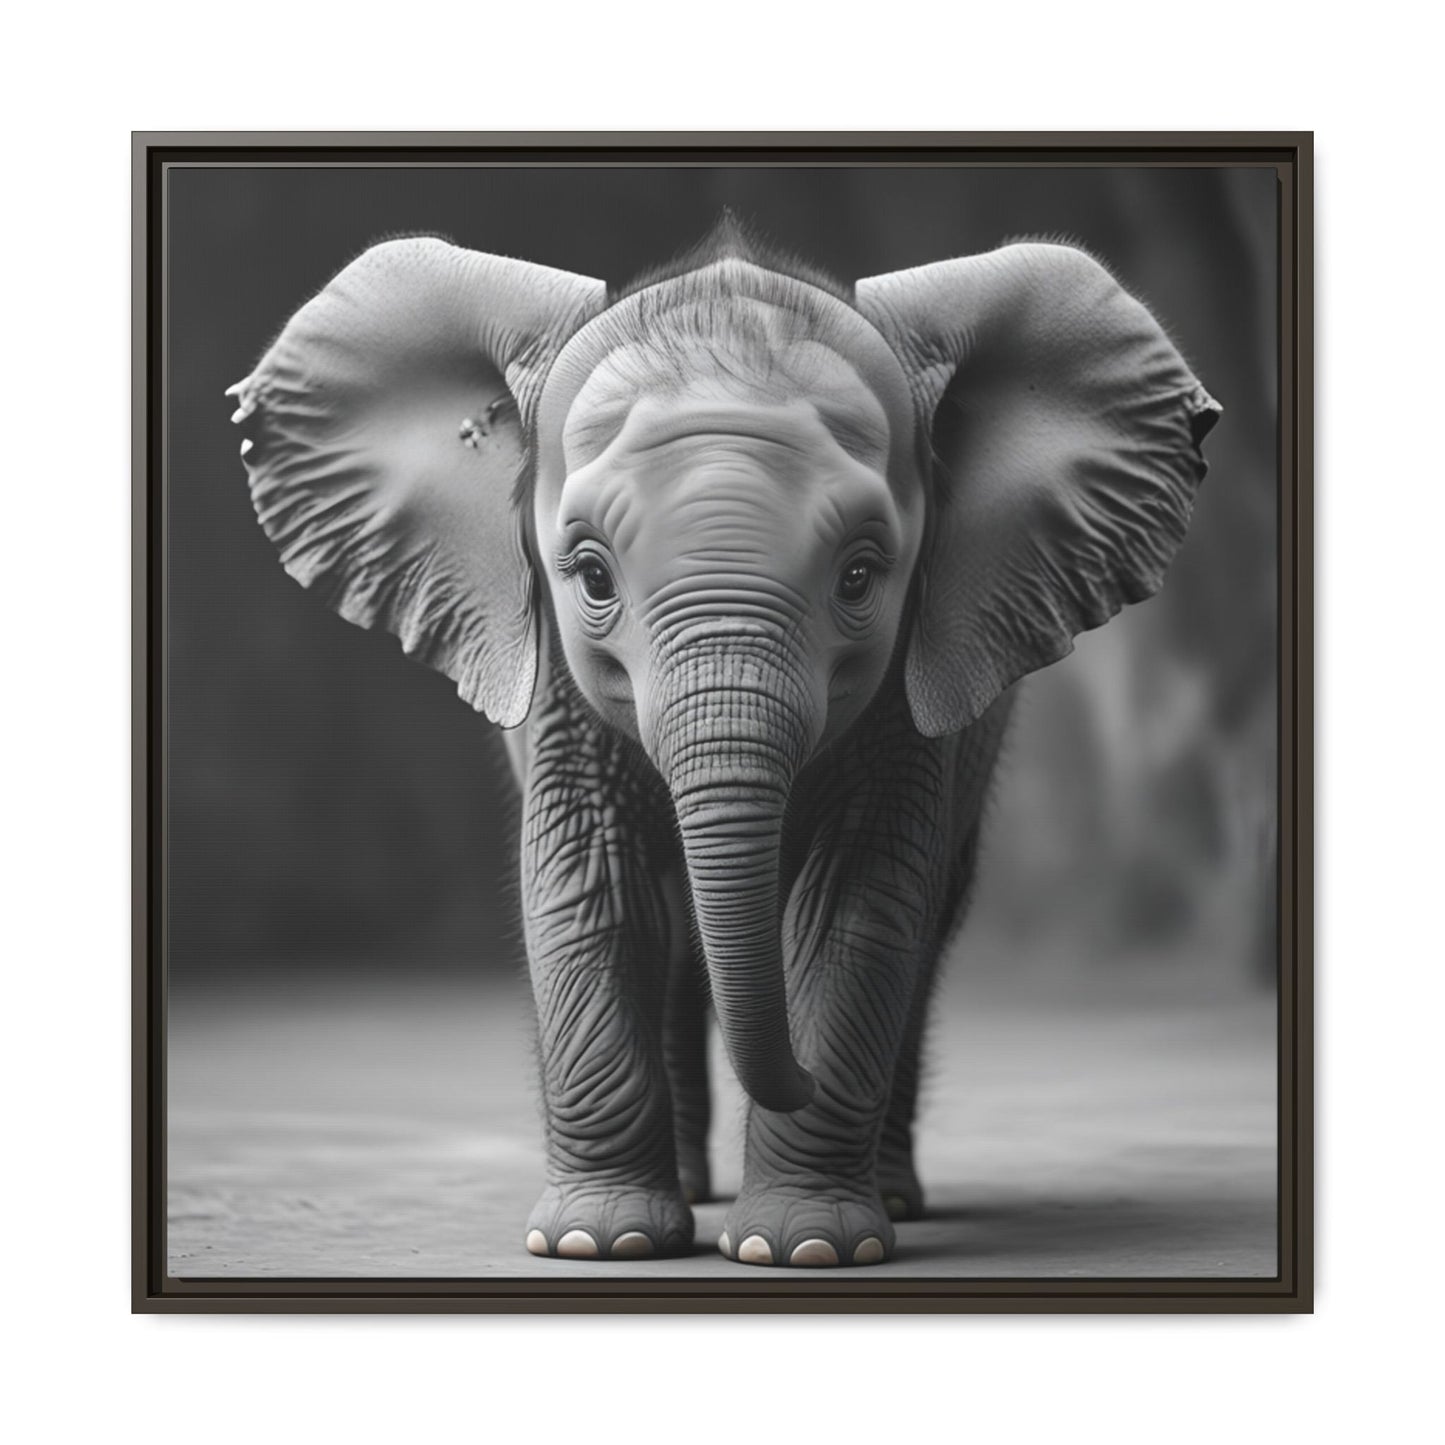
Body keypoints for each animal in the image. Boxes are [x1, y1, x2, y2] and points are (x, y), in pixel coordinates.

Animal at [228, 215, 1219, 1268]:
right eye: (589, 574)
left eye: (861, 575)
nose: (797, 1080)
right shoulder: (556, 683)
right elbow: (593, 882)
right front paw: (597, 1242)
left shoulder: (907, 682)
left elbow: (858, 900)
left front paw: (805, 1248)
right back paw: (691, 1194)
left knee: (921, 925)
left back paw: (889, 1196)